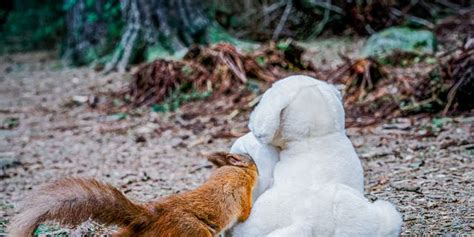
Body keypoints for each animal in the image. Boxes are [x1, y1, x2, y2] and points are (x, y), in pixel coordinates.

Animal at [7, 153, 258, 236]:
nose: (257, 167)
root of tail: (153, 216)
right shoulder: (242, 191)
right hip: (192, 232)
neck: (236, 170)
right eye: (253, 161)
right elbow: (245, 211)